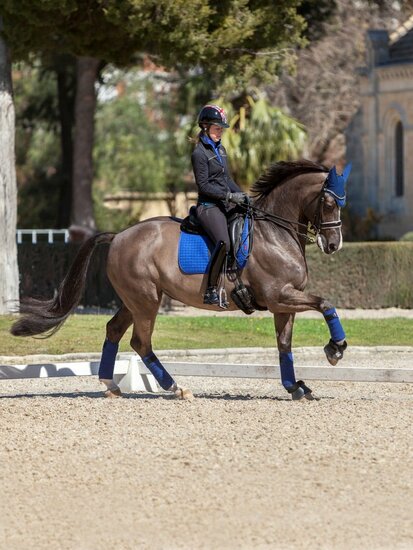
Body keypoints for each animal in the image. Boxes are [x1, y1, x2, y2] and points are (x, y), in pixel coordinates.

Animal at [11, 160, 350, 402]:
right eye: (329, 202)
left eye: (342, 202)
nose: (334, 245)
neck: (276, 233)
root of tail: (119, 235)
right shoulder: (279, 295)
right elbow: (326, 304)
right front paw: (335, 349)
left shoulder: (284, 303)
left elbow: (284, 345)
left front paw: (295, 387)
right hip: (147, 301)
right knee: (140, 342)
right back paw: (176, 388)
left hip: (135, 300)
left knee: (114, 330)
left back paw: (111, 385)